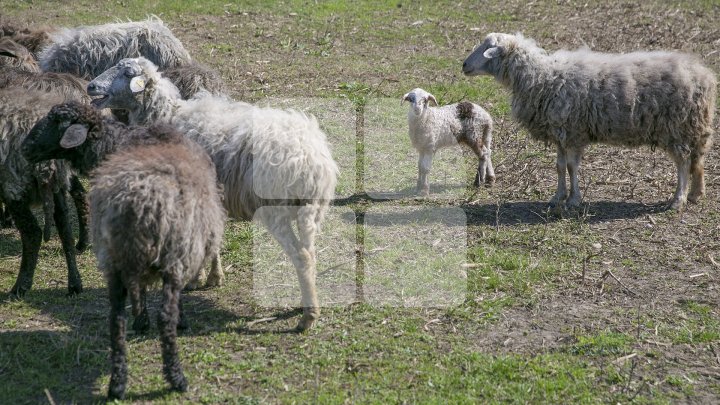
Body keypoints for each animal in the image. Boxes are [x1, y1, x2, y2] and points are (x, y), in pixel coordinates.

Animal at [0, 87, 82, 296]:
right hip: (56, 186)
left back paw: (20, 288)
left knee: (33, 233)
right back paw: (75, 284)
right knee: (65, 228)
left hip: (14, 181)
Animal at [24, 109, 225, 398]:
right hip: (167, 255)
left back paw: (117, 384)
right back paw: (176, 378)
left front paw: (142, 321)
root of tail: (138, 202)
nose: (25, 148)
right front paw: (175, 321)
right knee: (163, 316)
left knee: (116, 319)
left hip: (118, 258)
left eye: (56, 121)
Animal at [87, 56, 340, 332]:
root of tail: (310, 157)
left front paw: (196, 278)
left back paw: (307, 317)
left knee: (301, 256)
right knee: (309, 254)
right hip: (312, 210)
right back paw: (306, 302)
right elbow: (213, 236)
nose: (90, 87)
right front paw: (213, 277)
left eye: (126, 73)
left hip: (277, 210)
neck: (169, 116)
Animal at [462, 33, 716, 210]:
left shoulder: (573, 132)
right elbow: (560, 166)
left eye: (487, 48)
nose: (464, 65)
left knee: (683, 163)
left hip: (677, 126)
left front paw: (574, 199)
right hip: (695, 126)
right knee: (698, 160)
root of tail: (705, 76)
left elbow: (572, 167)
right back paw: (696, 194)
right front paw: (557, 197)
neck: (541, 77)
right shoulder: (560, 133)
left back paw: (678, 200)